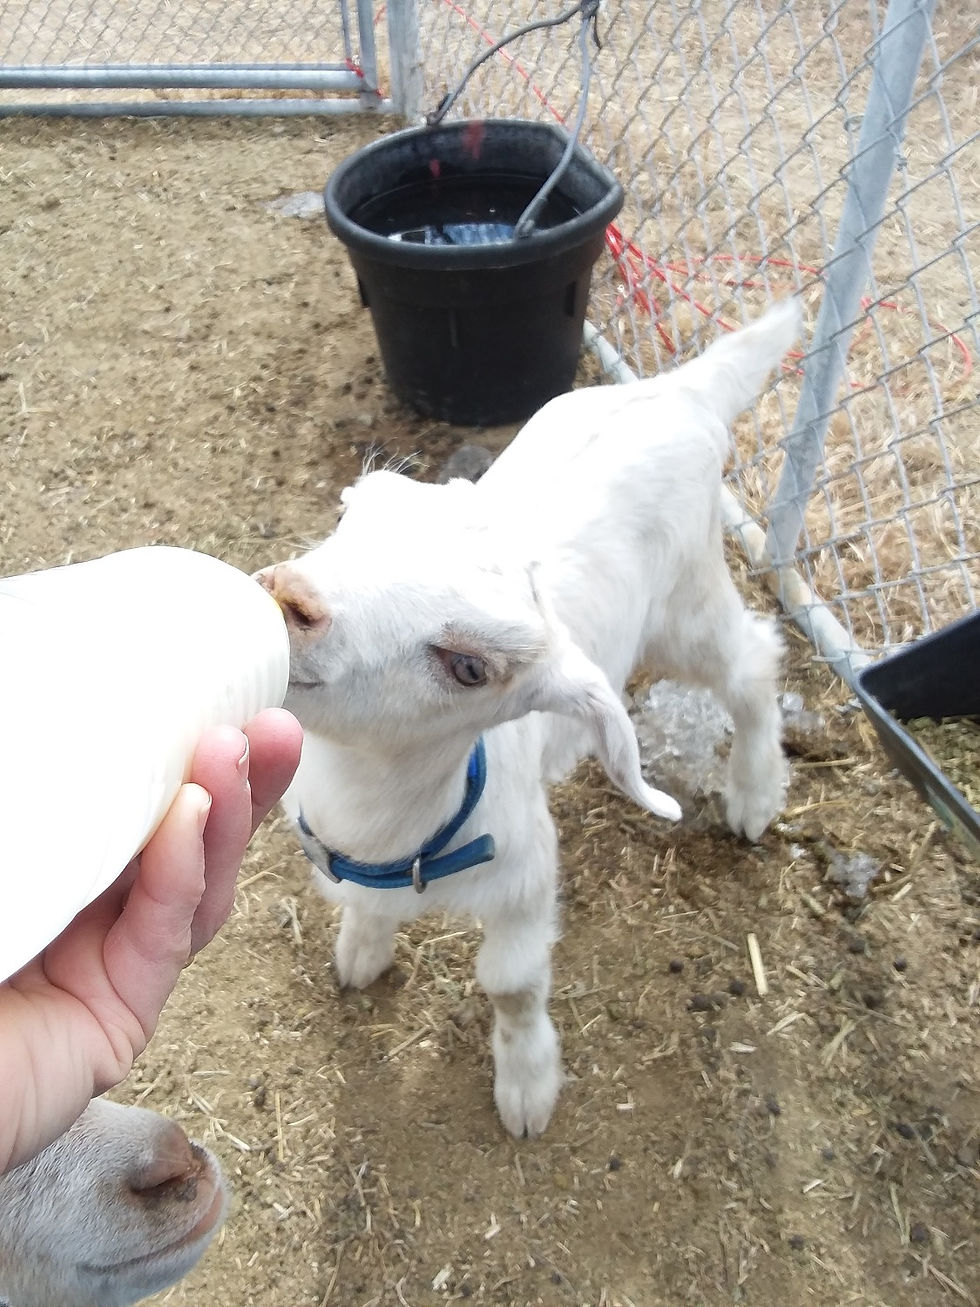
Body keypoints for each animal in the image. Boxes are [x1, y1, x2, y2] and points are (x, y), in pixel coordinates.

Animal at [256, 297, 801, 1138]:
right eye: (348, 514)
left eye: (469, 666)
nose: (291, 597)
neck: (386, 829)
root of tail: (680, 389)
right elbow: (363, 910)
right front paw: (361, 952)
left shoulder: (525, 877)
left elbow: (510, 985)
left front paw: (526, 1086)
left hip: (687, 604)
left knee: (752, 663)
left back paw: (754, 791)